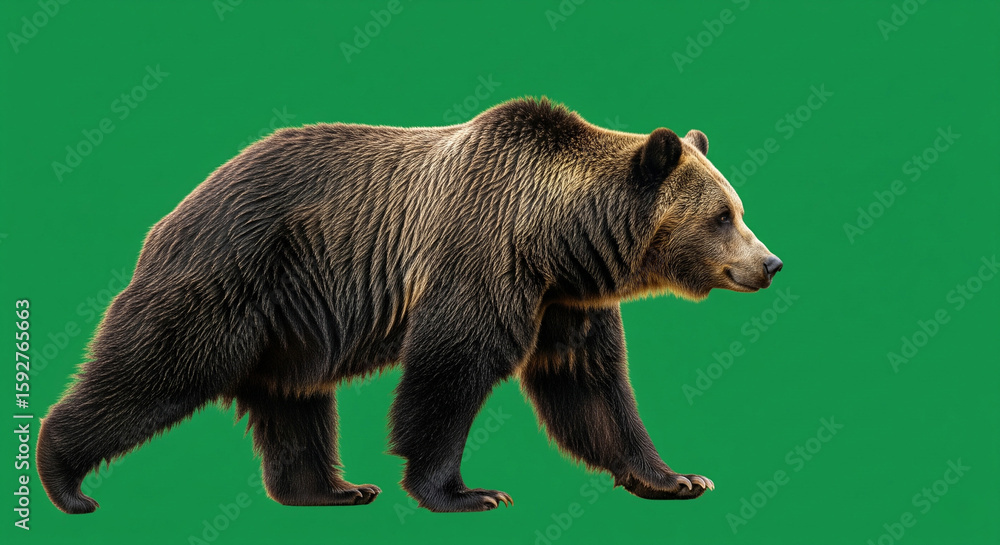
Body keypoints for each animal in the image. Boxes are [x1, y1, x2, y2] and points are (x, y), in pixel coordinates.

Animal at [37, 97, 782, 514]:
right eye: (723, 215)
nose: (770, 263)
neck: (555, 238)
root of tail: (173, 211)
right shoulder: (482, 257)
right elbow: (448, 372)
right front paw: (464, 491)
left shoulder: (567, 300)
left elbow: (591, 389)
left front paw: (678, 476)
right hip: (232, 274)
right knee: (155, 368)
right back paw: (64, 477)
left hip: (290, 322)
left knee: (294, 400)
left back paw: (331, 488)